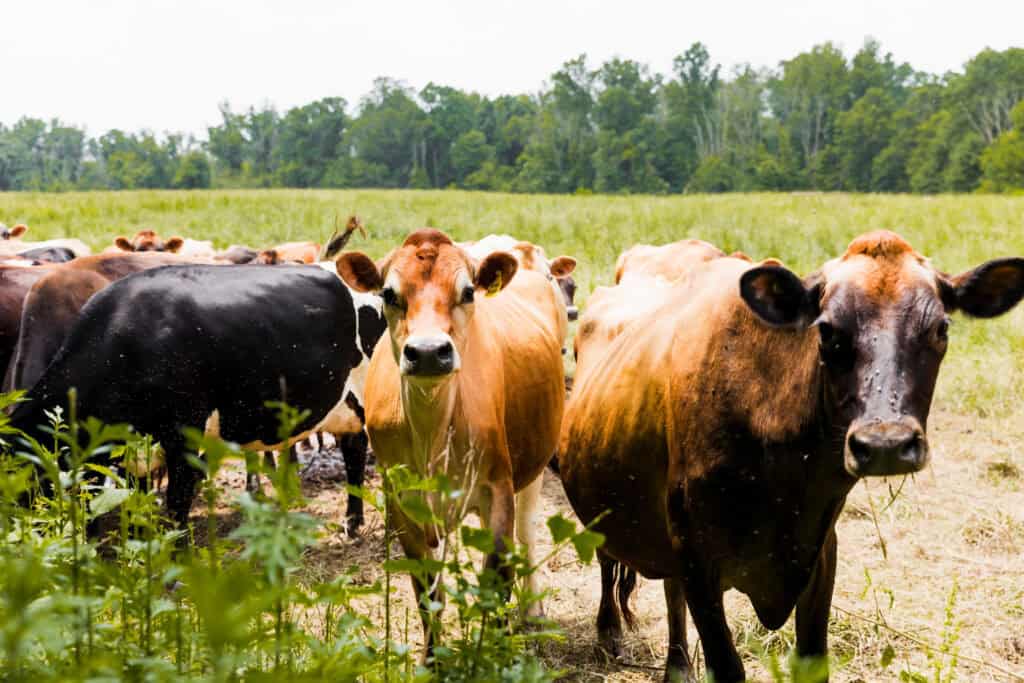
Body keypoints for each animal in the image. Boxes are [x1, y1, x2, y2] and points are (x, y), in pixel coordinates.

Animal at [9, 262, 385, 532]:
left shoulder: (184, 436)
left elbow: (177, 504)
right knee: (351, 448)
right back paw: (351, 521)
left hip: (365, 398)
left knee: (357, 451)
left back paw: (354, 523)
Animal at [335, 228, 565, 651]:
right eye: (388, 293)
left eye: (468, 292)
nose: (428, 352)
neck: (432, 429)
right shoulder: (403, 502)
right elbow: (428, 592)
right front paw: (433, 657)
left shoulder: (498, 491)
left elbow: (496, 579)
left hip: (534, 464)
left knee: (527, 531)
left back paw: (531, 611)